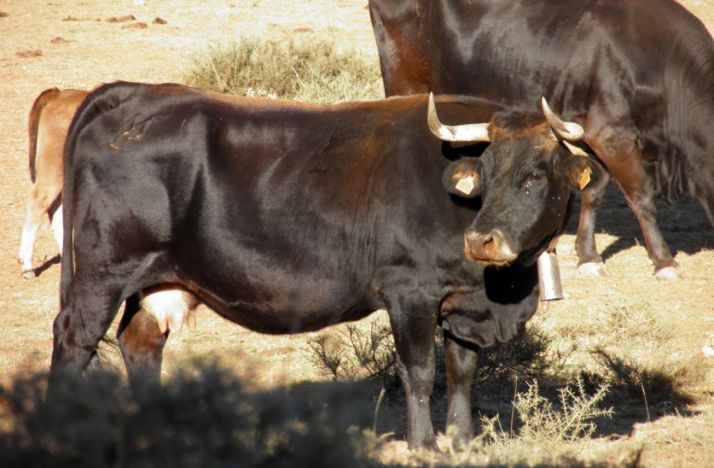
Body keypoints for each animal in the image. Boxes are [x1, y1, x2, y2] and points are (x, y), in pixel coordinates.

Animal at [50, 81, 600, 448]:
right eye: (483, 172)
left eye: (534, 176)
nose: (481, 240)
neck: (498, 297)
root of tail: (132, 93)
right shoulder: (410, 291)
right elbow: (420, 372)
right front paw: (423, 444)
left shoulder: (460, 302)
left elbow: (462, 372)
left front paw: (462, 441)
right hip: (102, 274)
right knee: (74, 339)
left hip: (155, 279)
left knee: (140, 343)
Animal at [368, 0, 714, 278]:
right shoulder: (613, 136)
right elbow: (641, 195)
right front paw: (664, 261)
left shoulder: (590, 134)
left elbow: (593, 189)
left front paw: (588, 256)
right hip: (404, 83)